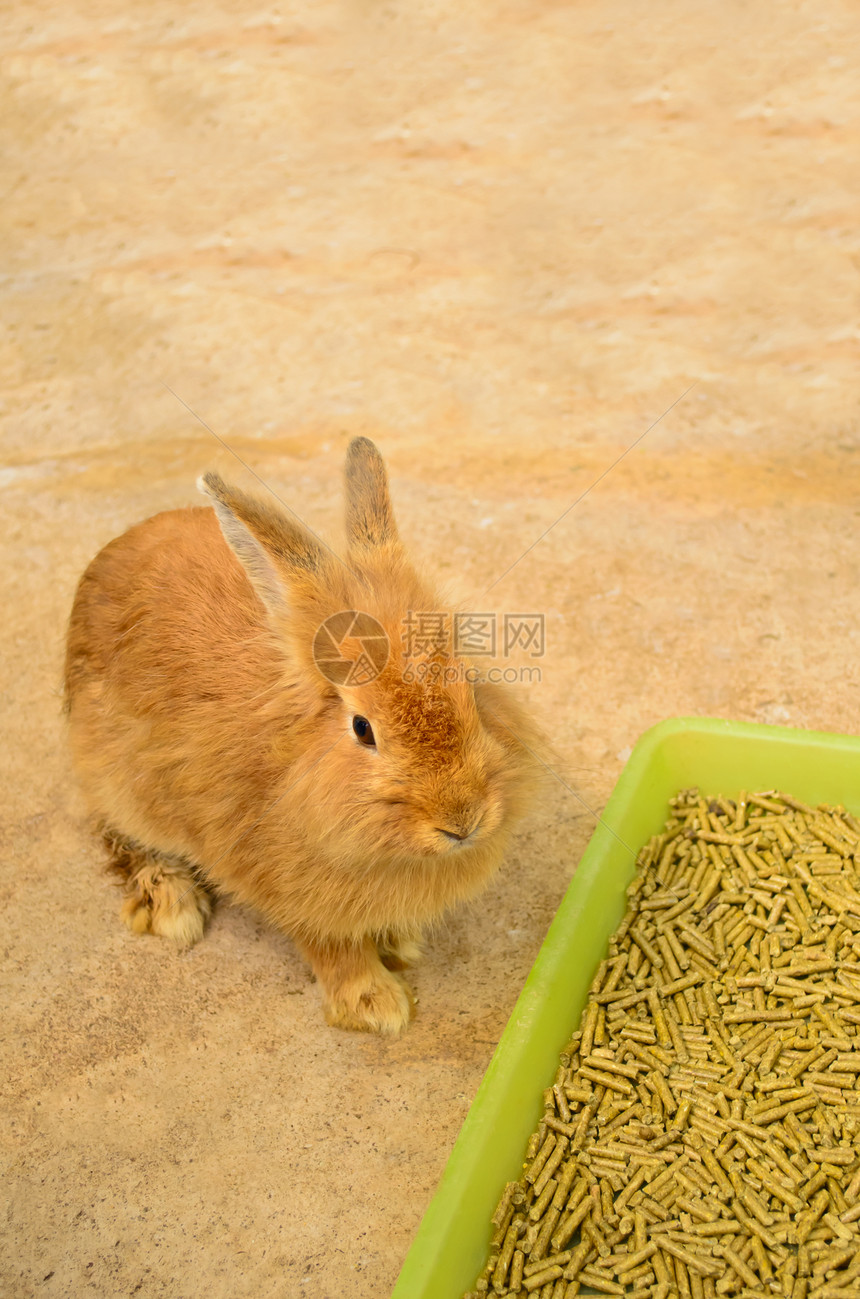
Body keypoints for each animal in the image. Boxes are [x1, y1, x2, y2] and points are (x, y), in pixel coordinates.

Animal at [63, 439, 543, 1034]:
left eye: (469, 686)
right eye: (362, 729)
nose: (464, 820)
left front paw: (399, 944)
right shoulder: (290, 891)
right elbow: (330, 947)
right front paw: (378, 1007)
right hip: (115, 782)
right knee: (114, 832)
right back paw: (172, 904)